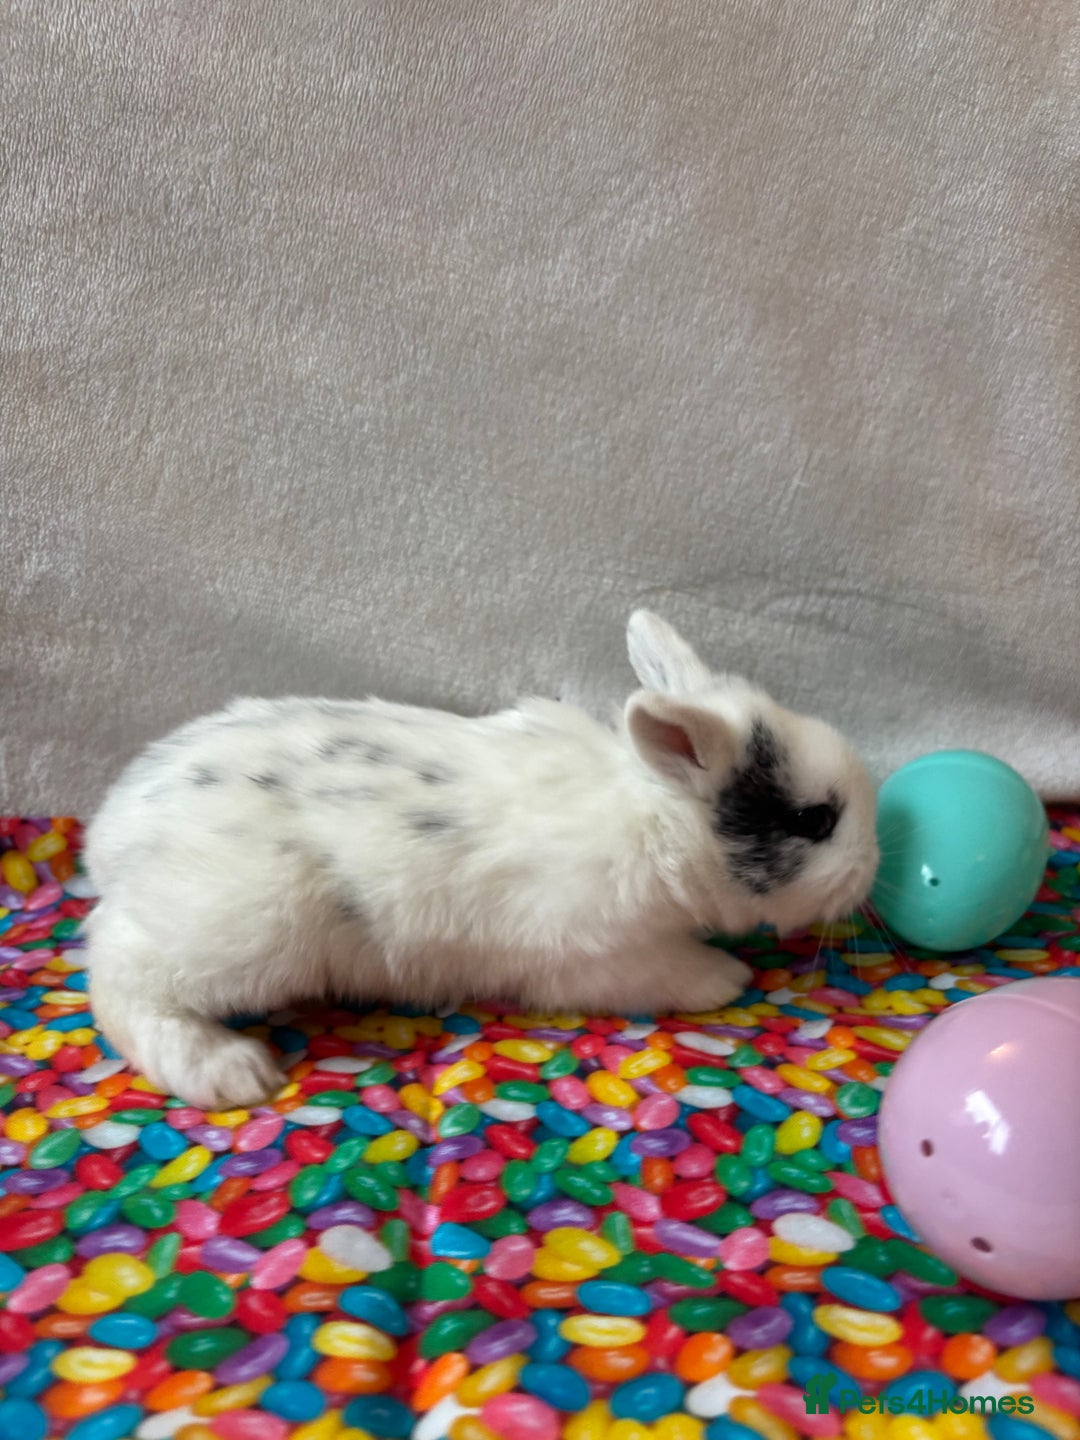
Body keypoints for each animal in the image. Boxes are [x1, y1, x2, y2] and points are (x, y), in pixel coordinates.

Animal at [82, 610, 879, 1109]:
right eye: (814, 820)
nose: (873, 864)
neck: (657, 822)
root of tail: (114, 833)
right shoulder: (602, 955)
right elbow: (669, 973)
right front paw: (724, 978)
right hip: (241, 928)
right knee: (119, 973)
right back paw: (230, 1071)